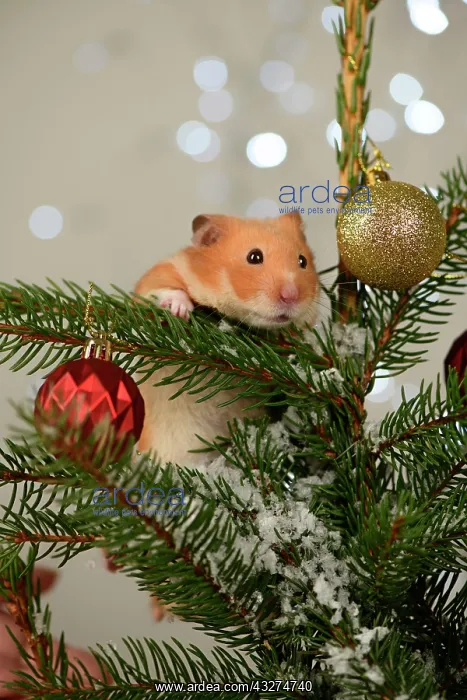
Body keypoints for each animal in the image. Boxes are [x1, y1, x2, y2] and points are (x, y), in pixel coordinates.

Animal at [134, 211, 319, 467]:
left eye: (303, 261)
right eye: (254, 257)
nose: (291, 296)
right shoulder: (158, 276)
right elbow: (167, 290)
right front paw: (181, 310)